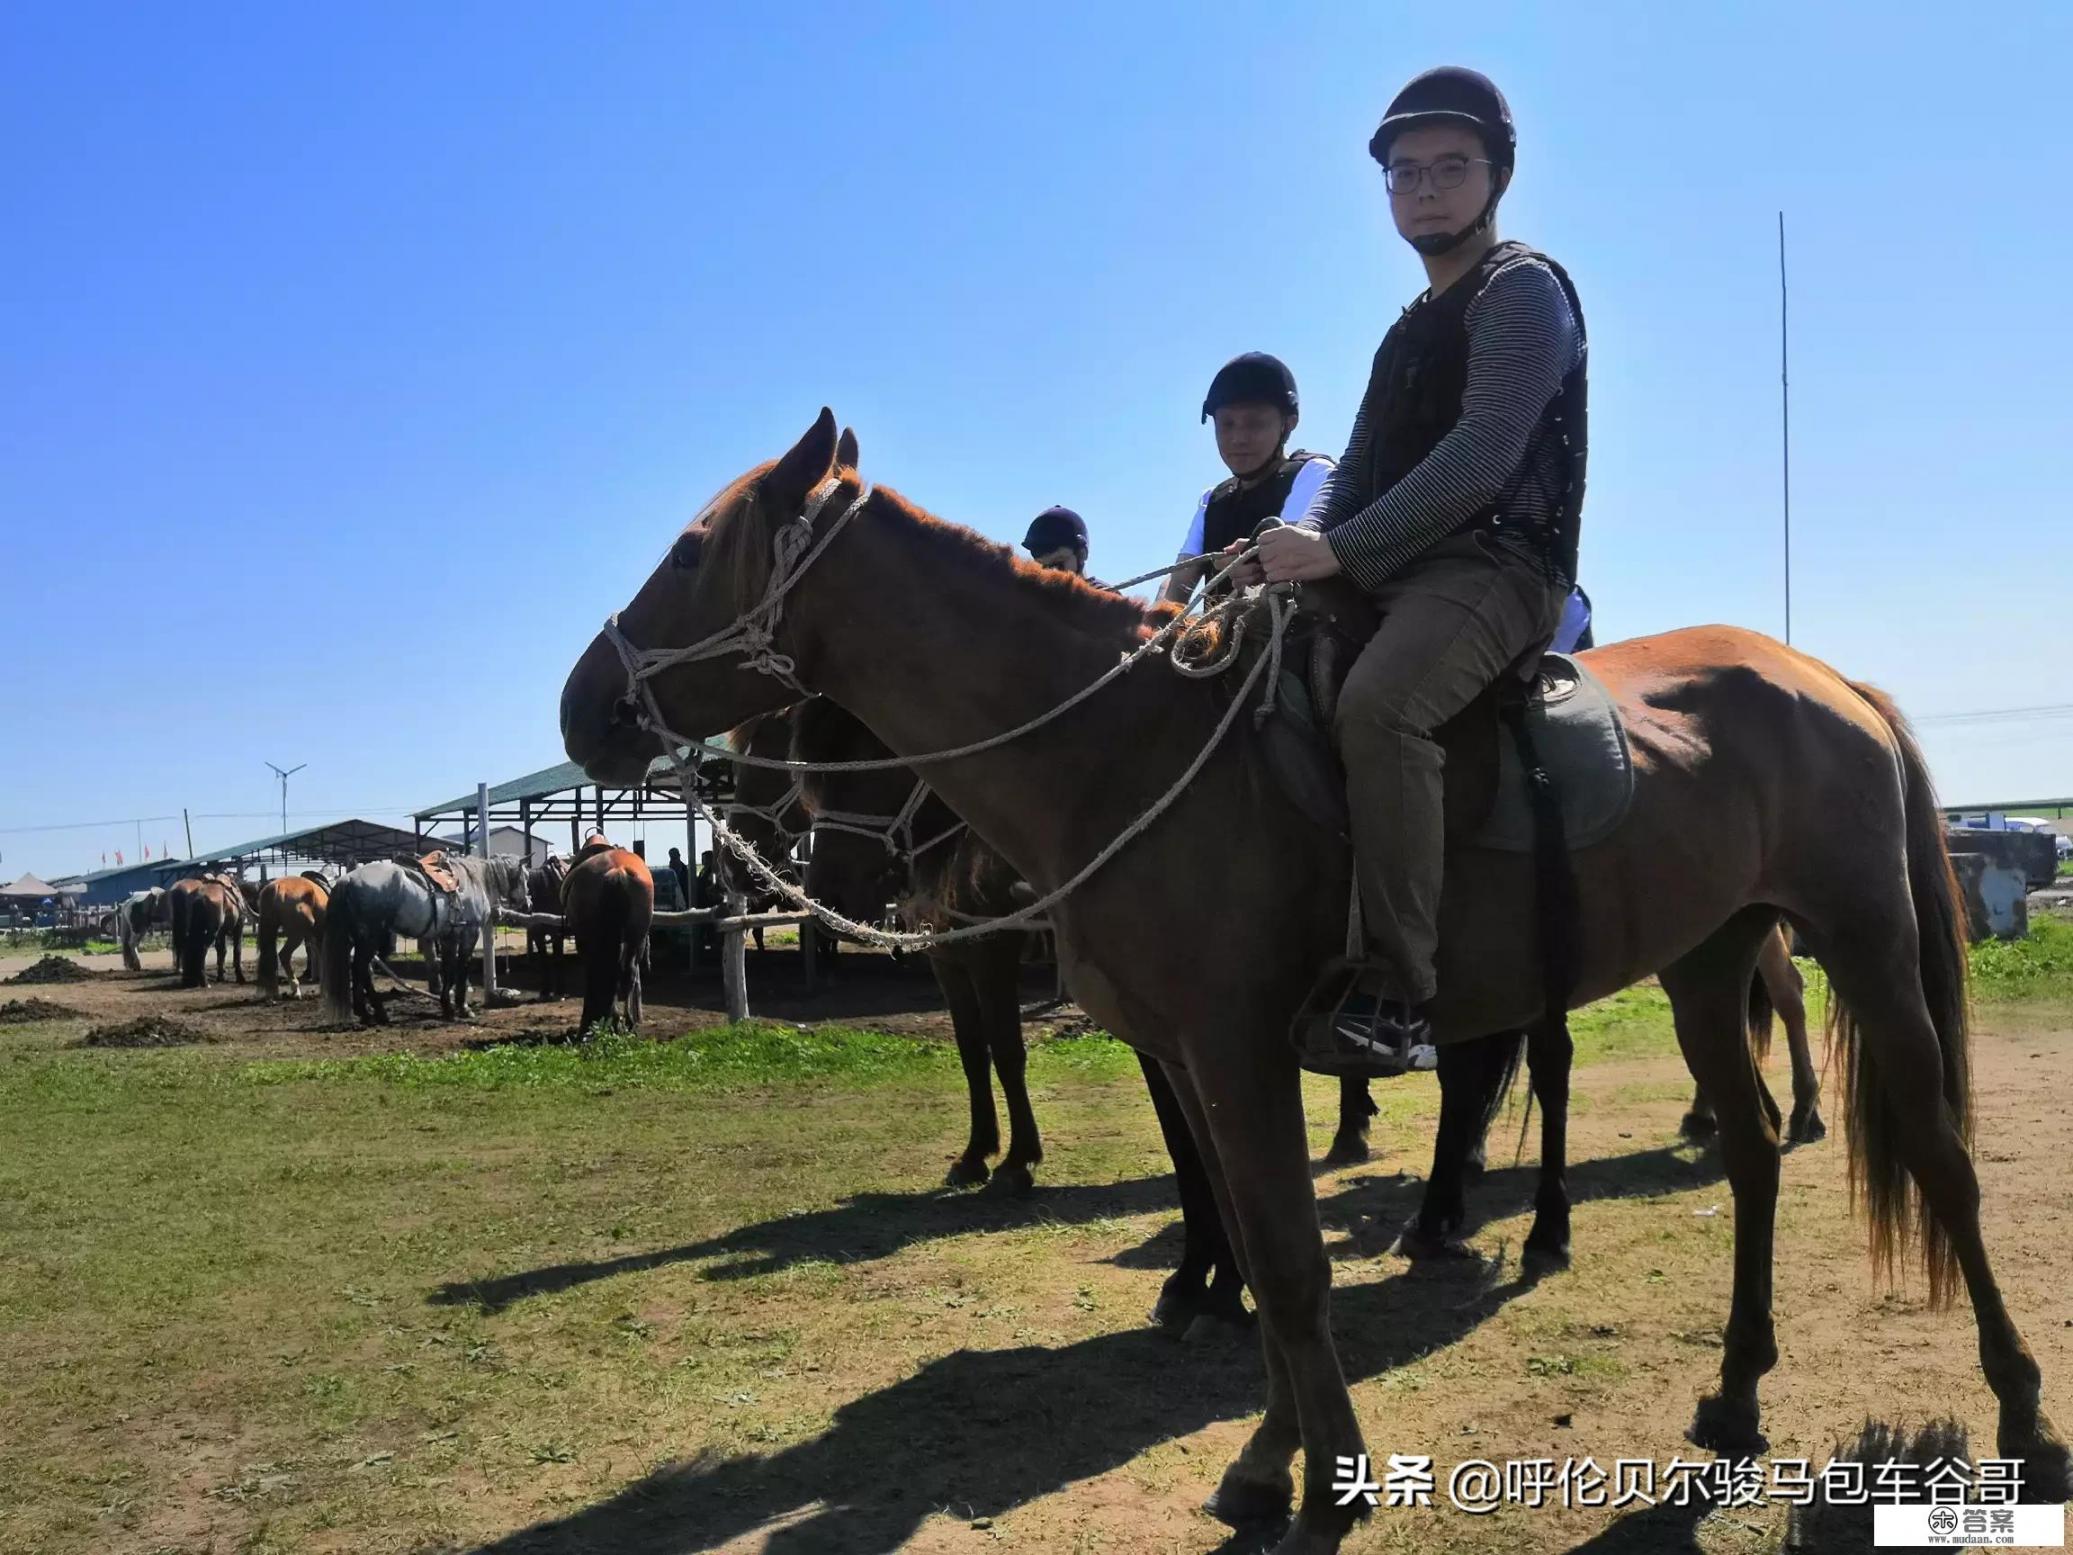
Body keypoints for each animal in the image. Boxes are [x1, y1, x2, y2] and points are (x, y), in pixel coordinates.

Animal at [315, 858, 530, 1028]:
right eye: (525, 877)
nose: (528, 904)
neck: (473, 881)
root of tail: (348, 879)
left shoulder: (448, 938)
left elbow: (448, 970)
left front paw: (447, 1007)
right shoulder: (470, 933)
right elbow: (462, 968)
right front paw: (463, 1008)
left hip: (359, 939)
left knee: (361, 970)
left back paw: (367, 1013)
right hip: (370, 938)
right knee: (360, 968)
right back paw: (375, 1013)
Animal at [559, 416, 2064, 1555]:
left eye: (690, 549)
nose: (584, 707)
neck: (1127, 746)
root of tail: (1829, 681)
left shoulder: (1232, 1048)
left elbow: (1286, 1263)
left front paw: (1324, 1480)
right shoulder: (1198, 1058)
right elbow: (1252, 1249)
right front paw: (1267, 1451)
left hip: (1863, 944)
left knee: (1938, 1157)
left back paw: (2023, 1417)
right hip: (1709, 955)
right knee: (1749, 1151)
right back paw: (1737, 1390)